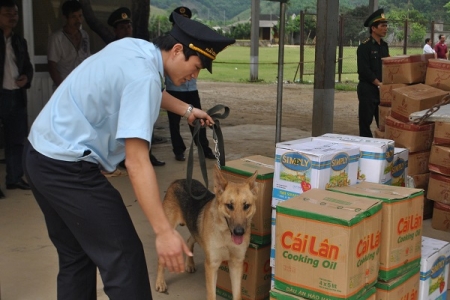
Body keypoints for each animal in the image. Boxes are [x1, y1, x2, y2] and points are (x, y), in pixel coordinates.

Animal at [155, 165, 256, 300]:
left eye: (246, 206)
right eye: (229, 205)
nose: (239, 232)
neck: (225, 235)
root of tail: (178, 181)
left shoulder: (236, 264)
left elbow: (237, 294)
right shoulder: (211, 266)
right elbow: (212, 295)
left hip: (196, 230)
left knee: (189, 240)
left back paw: (190, 264)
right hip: (168, 231)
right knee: (161, 259)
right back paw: (160, 282)